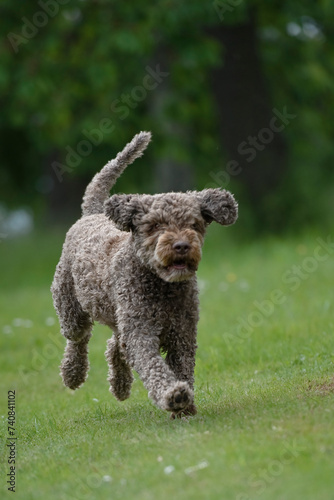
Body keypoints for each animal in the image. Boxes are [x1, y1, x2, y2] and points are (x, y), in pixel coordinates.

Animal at [51, 133, 237, 418]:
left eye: (194, 224)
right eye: (155, 225)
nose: (181, 245)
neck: (163, 287)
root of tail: (92, 213)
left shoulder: (182, 333)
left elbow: (183, 368)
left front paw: (185, 406)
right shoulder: (141, 330)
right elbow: (153, 366)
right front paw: (173, 395)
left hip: (120, 317)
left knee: (114, 346)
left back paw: (120, 385)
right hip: (71, 306)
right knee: (79, 338)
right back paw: (73, 373)